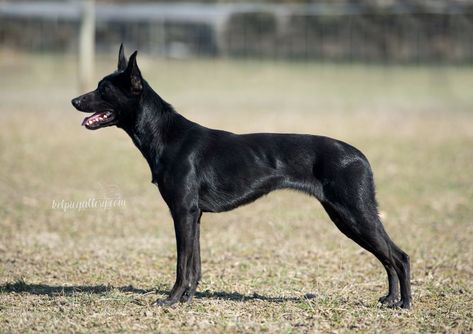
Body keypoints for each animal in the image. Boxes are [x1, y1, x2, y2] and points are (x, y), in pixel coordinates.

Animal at [71, 44, 410, 308]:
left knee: (399, 256)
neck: (166, 135)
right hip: (347, 216)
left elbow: (182, 264)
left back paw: (404, 304)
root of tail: (361, 156)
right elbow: (194, 265)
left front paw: (171, 300)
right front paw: (187, 299)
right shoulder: (195, 216)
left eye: (104, 90)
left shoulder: (182, 212)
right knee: (387, 256)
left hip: (353, 214)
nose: (74, 101)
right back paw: (390, 299)